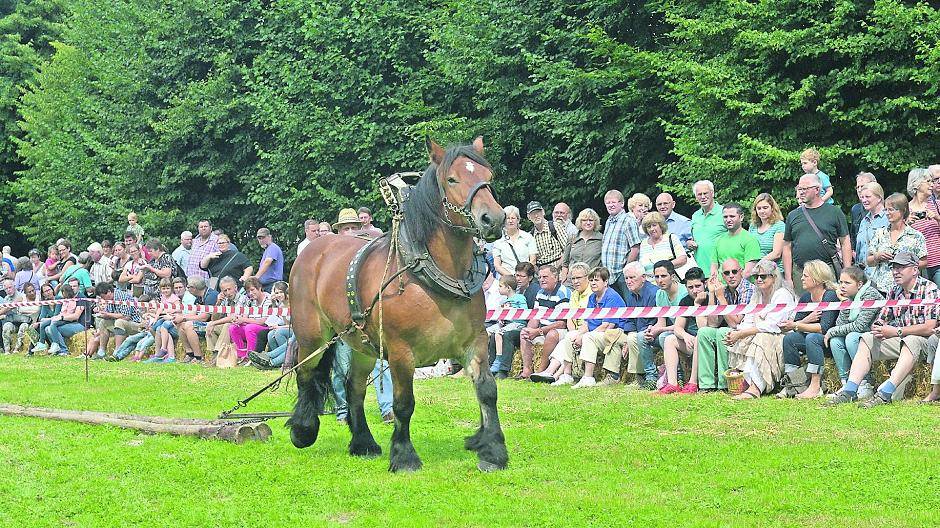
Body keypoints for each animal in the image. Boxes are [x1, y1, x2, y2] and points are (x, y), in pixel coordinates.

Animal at [286, 138, 506, 472]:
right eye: (452, 179)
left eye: (488, 176)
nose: (493, 219)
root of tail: (315, 247)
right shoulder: (402, 352)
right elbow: (404, 404)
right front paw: (404, 456)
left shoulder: (475, 342)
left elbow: (487, 391)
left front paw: (493, 450)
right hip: (313, 336)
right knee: (306, 374)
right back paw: (303, 429)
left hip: (363, 344)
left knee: (353, 387)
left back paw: (363, 442)